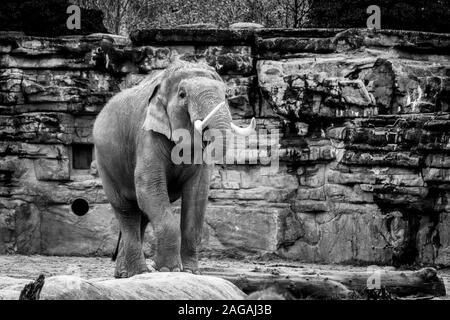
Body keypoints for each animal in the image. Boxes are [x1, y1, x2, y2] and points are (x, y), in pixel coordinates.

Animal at [93, 60, 255, 278]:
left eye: (226, 94)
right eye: (182, 95)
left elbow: (197, 194)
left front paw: (191, 272)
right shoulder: (147, 134)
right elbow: (150, 187)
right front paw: (167, 269)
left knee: (141, 214)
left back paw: (126, 275)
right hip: (105, 163)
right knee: (127, 210)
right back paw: (138, 273)